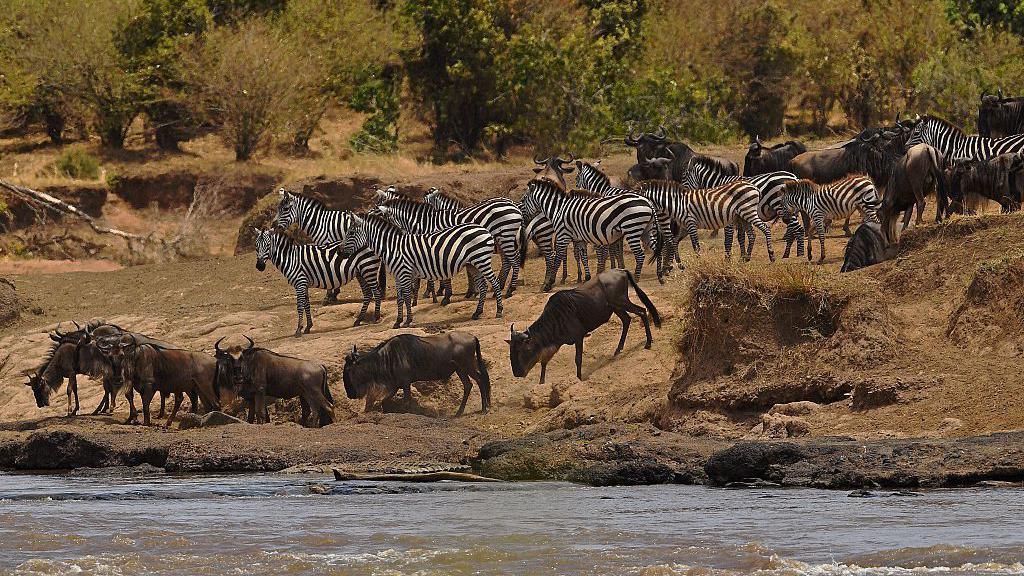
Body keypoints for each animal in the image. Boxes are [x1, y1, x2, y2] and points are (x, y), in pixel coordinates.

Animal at [251, 224, 385, 332]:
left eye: (268, 245)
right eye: (256, 246)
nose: (260, 266)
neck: (291, 258)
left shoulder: (300, 282)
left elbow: (299, 306)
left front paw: (298, 329)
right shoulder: (304, 283)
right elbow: (306, 304)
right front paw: (308, 327)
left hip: (368, 268)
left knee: (376, 292)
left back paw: (376, 317)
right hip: (360, 272)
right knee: (368, 294)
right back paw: (358, 320)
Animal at [344, 210, 503, 327]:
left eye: (351, 233)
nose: (340, 251)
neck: (393, 248)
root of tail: (485, 229)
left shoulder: (404, 272)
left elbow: (407, 296)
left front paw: (407, 321)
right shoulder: (397, 275)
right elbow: (399, 298)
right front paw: (398, 321)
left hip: (481, 260)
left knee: (495, 283)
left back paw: (499, 311)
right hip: (473, 264)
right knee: (482, 286)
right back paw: (477, 313)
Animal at [520, 177, 663, 291]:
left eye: (524, 199)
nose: (524, 217)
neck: (559, 209)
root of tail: (647, 201)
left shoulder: (562, 235)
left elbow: (557, 259)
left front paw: (548, 284)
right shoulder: (579, 239)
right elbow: (583, 257)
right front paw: (587, 278)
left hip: (632, 229)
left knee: (640, 255)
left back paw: (635, 279)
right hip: (646, 230)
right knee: (657, 249)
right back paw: (660, 276)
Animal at [630, 179, 774, 262]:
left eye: (636, 195)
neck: (677, 204)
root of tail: (754, 187)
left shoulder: (691, 223)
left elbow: (695, 245)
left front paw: (698, 261)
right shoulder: (685, 226)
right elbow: (675, 242)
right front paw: (678, 263)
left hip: (749, 212)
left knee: (766, 228)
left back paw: (771, 256)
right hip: (743, 216)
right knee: (752, 235)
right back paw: (746, 258)